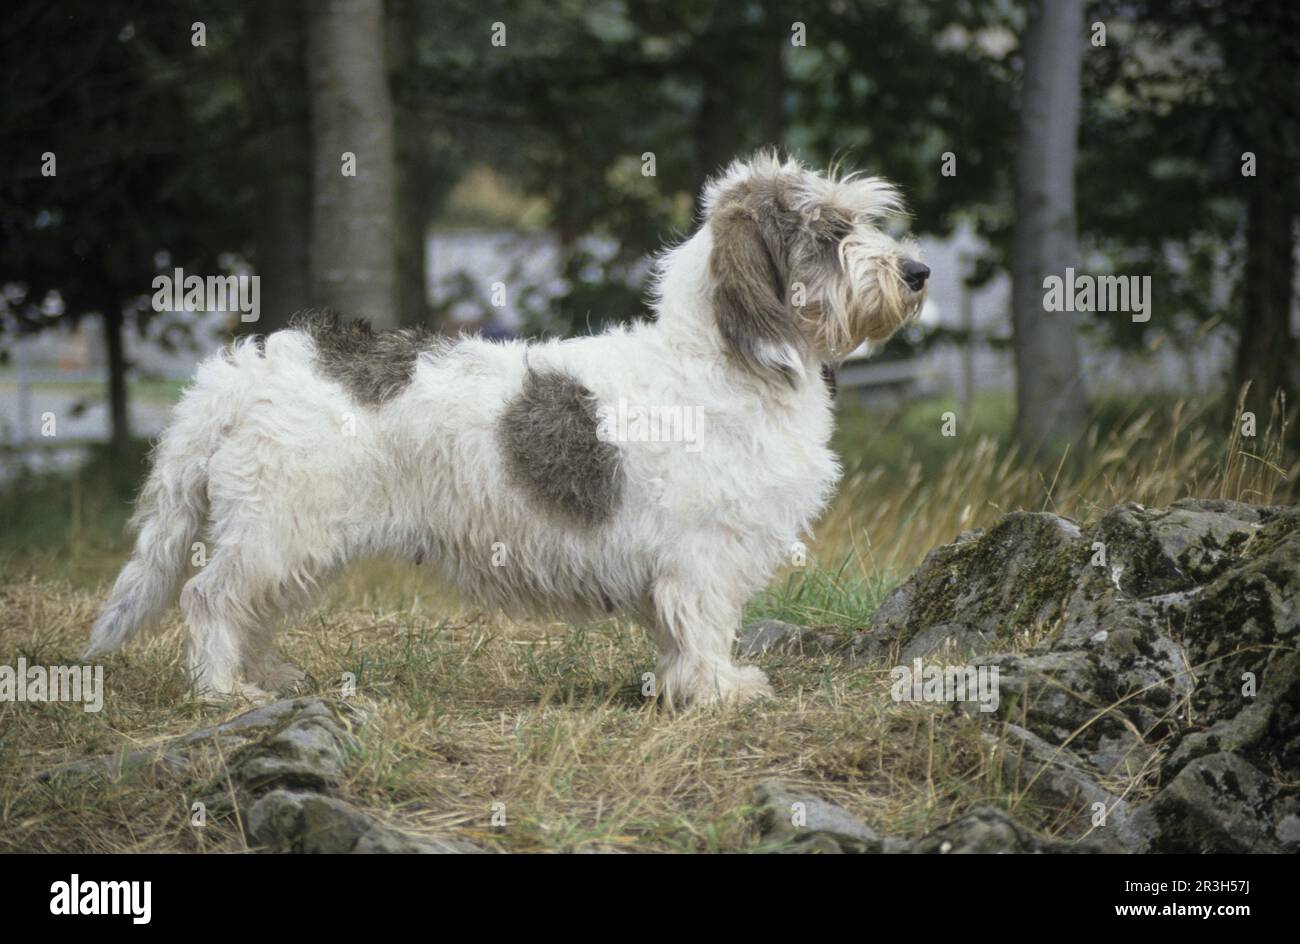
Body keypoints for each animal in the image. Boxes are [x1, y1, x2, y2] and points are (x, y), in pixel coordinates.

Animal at [83, 151, 925, 707]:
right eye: (829, 232)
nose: (917, 273)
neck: (722, 359)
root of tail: (238, 373)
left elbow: (676, 633)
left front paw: (678, 687)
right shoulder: (704, 554)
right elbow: (706, 624)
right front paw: (721, 691)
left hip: (295, 539)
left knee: (245, 605)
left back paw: (265, 676)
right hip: (276, 528)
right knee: (208, 597)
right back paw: (224, 692)